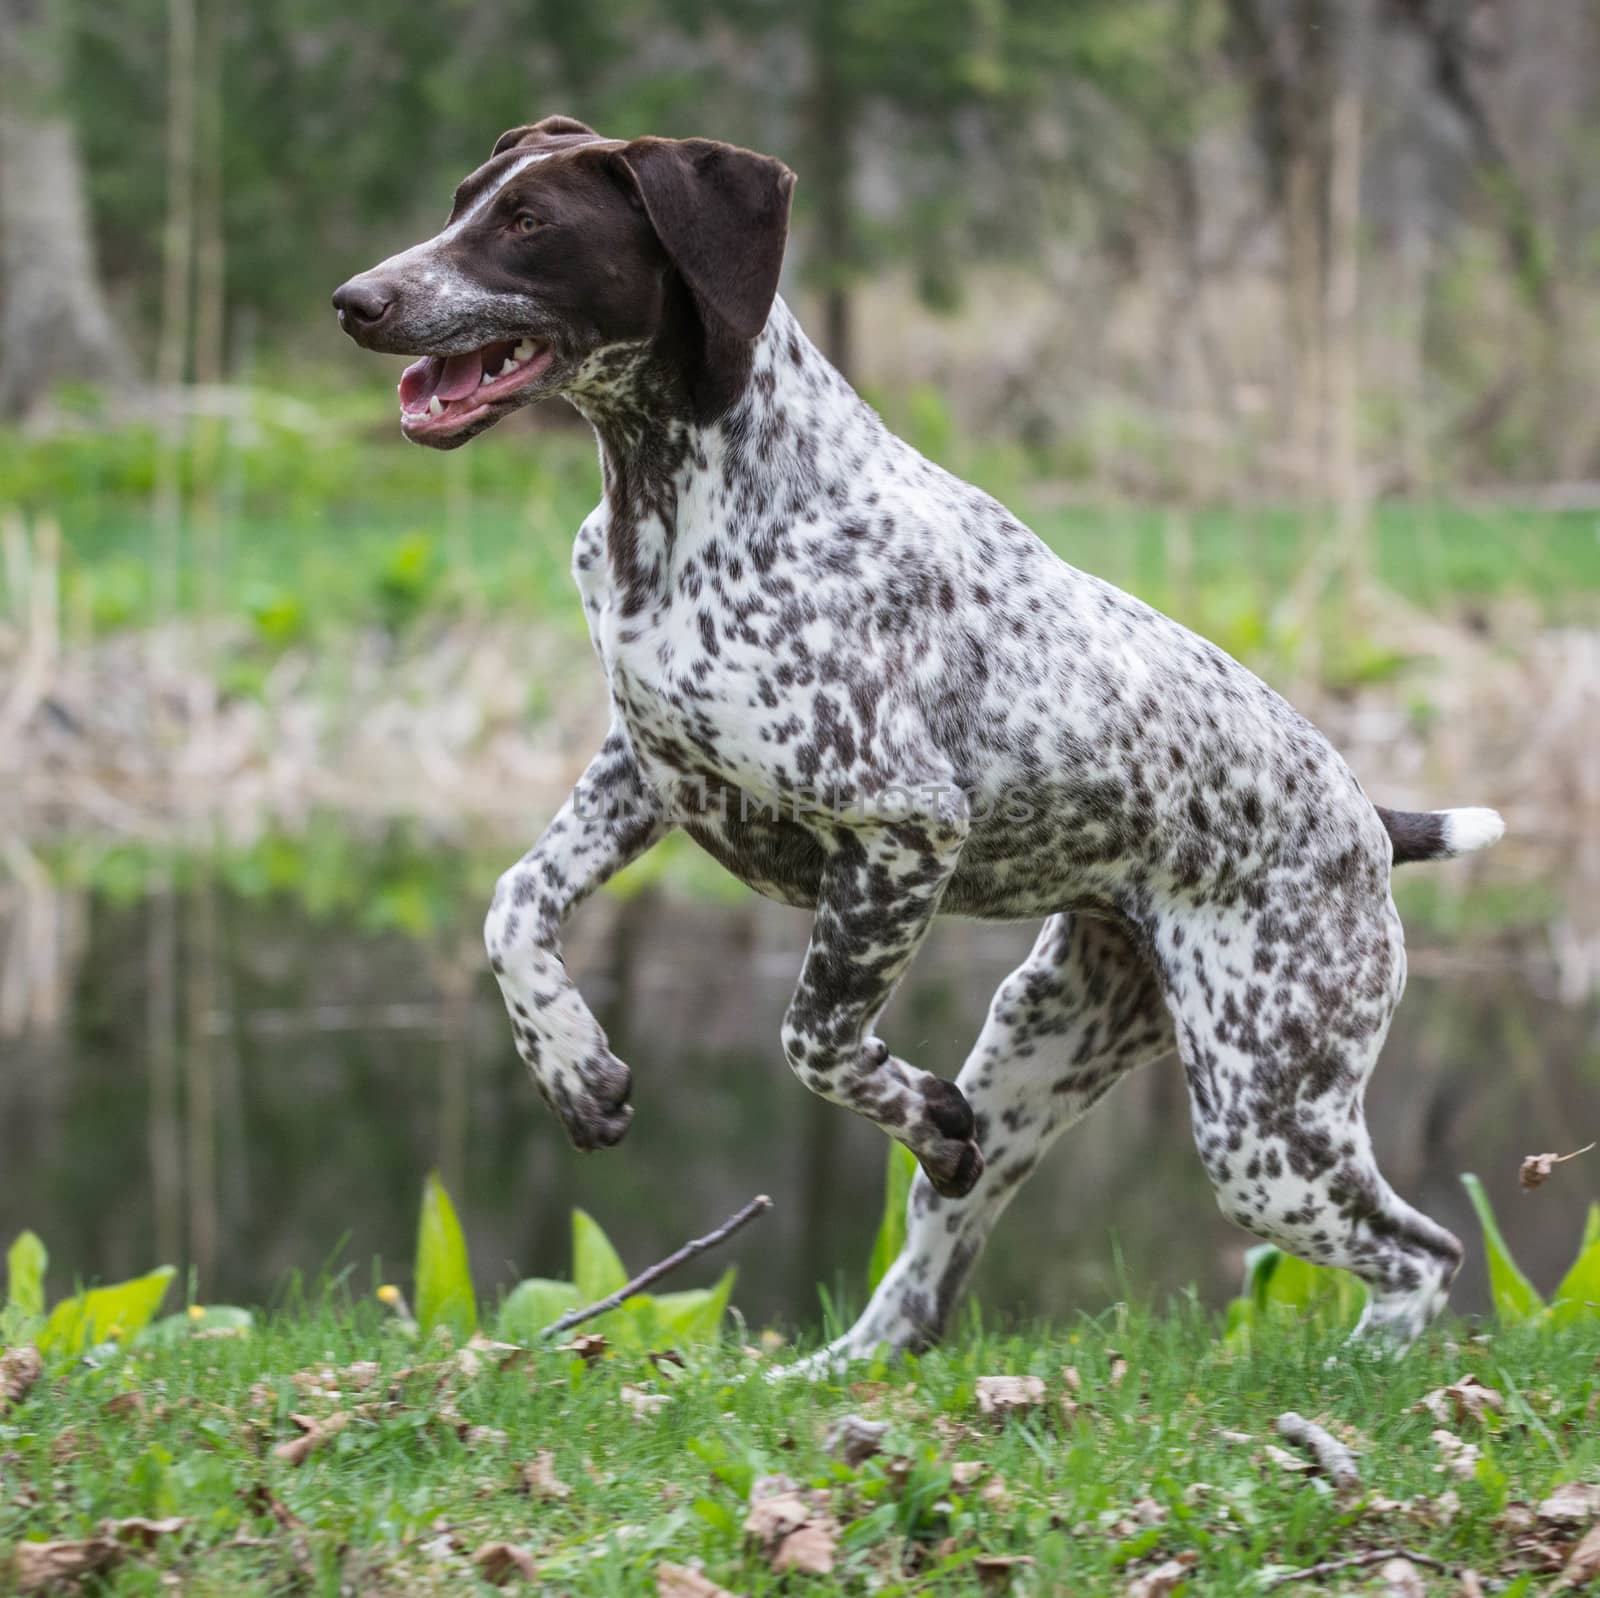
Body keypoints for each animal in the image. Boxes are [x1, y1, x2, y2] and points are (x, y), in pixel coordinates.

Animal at [331, 115, 1504, 1362]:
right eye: (464, 200)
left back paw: (1357, 1367)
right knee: (928, 1276)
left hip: (1261, 1121)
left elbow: (812, 1037)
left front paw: (905, 1100)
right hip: (1039, 1054)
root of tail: (1368, 821)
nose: (355, 300)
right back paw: (823, 1375)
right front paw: (573, 1067)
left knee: (1421, 1252)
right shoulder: (646, 770)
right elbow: (512, 906)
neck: (683, 500)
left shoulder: (902, 831)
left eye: (528, 223)